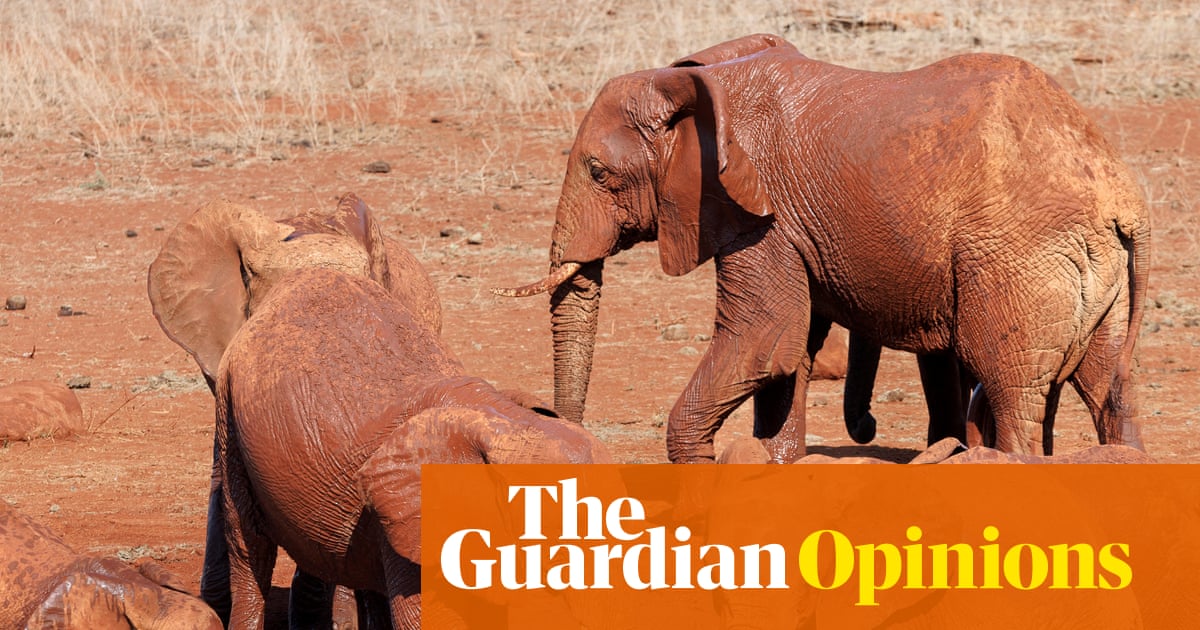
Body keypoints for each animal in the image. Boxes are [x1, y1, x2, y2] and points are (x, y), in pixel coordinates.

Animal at [497, 33, 1148, 463]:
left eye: (598, 172)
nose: (572, 435)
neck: (694, 79)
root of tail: (1122, 198)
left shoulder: (761, 216)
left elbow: (763, 339)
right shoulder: (788, 227)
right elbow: (791, 351)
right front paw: (776, 460)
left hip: (1019, 260)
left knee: (1013, 390)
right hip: (1095, 275)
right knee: (1107, 389)